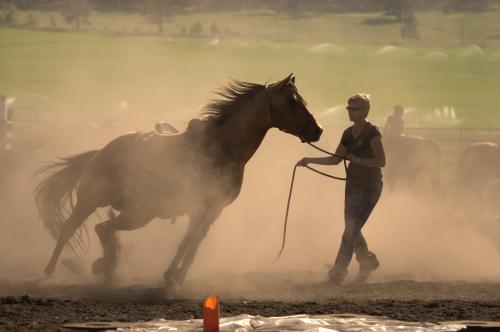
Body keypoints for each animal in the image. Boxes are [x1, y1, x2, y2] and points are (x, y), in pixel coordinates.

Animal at [35, 74, 324, 286]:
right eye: (292, 101)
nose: (317, 130)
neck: (222, 148)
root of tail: (101, 152)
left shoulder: (211, 210)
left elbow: (193, 242)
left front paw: (177, 275)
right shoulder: (201, 207)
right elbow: (188, 241)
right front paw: (171, 275)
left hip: (136, 212)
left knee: (101, 229)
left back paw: (104, 267)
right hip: (101, 203)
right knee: (74, 229)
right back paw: (58, 269)